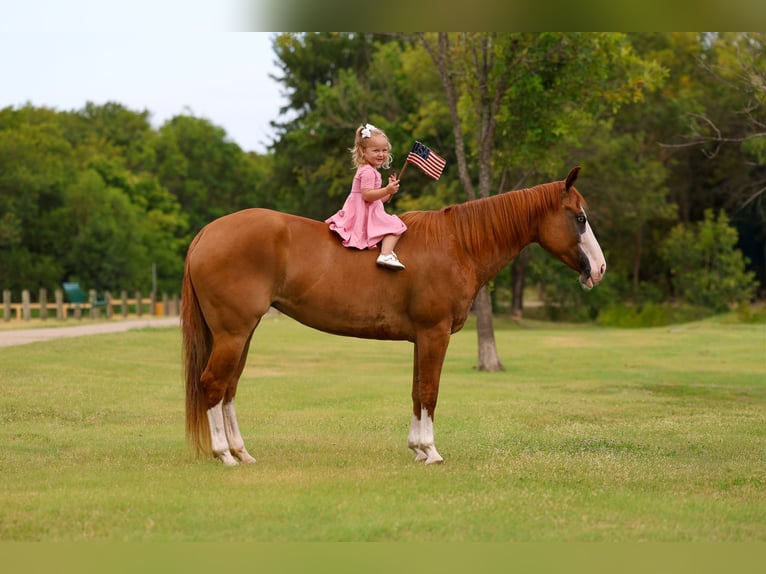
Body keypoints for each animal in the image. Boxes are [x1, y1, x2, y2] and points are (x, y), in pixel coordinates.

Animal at [182, 166, 606, 466]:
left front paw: (417, 448)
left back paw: (242, 452)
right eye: (579, 218)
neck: (458, 244)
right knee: (213, 385)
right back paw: (224, 455)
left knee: (229, 388)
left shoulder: (422, 337)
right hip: (233, 333)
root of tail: (206, 233)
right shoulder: (435, 334)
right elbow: (430, 391)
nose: (599, 269)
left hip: (243, 333)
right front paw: (431, 451)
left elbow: (417, 390)